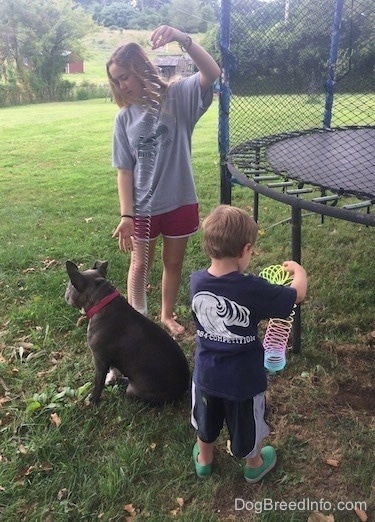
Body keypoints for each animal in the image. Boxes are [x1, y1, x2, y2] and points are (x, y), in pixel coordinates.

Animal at [64, 258, 191, 402]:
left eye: (69, 286)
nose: (65, 294)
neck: (102, 301)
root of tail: (182, 390)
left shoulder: (99, 360)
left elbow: (98, 383)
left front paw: (92, 400)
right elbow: (113, 369)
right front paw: (111, 378)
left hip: (134, 391)